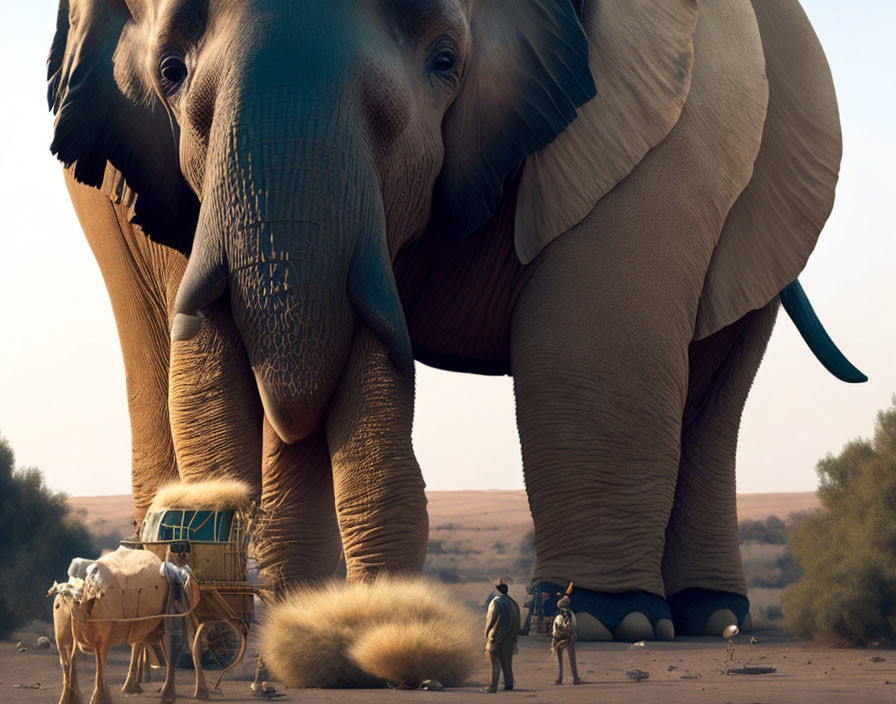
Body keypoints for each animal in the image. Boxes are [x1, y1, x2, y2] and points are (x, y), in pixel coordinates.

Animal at [45, 0, 864, 640]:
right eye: (170, 72)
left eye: (445, 60)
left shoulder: (669, 116)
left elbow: (590, 353)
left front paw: (609, 620)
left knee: (713, 392)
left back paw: (696, 618)